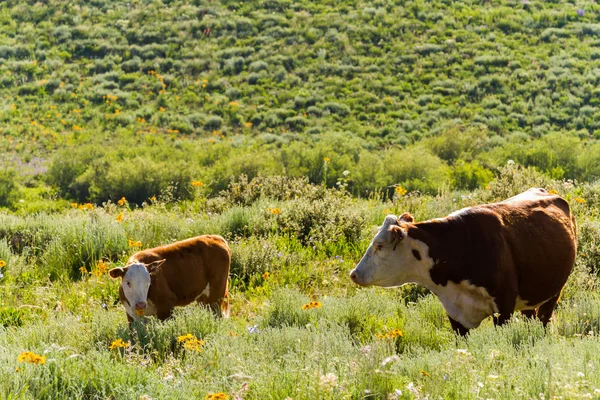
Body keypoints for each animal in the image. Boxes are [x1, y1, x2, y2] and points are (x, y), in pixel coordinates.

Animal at [350, 188, 580, 334]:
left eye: (380, 245)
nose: (354, 274)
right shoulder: (456, 315)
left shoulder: (504, 308)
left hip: (553, 295)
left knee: (543, 321)